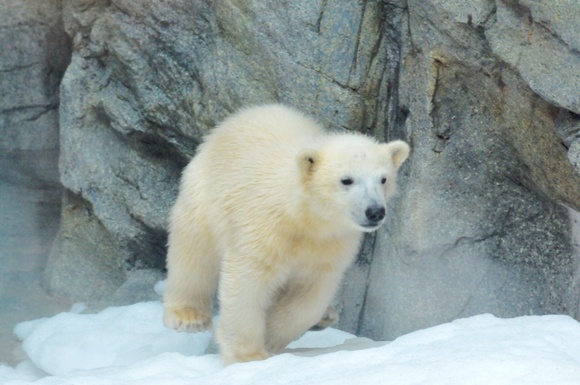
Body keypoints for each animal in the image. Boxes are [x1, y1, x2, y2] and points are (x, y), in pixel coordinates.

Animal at [161, 104, 410, 364]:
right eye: (346, 180)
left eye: (383, 179)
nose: (375, 211)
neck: (304, 217)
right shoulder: (264, 226)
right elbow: (248, 281)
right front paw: (248, 355)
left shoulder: (332, 244)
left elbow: (310, 296)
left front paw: (271, 336)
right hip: (205, 194)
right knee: (194, 250)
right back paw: (189, 315)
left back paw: (325, 317)